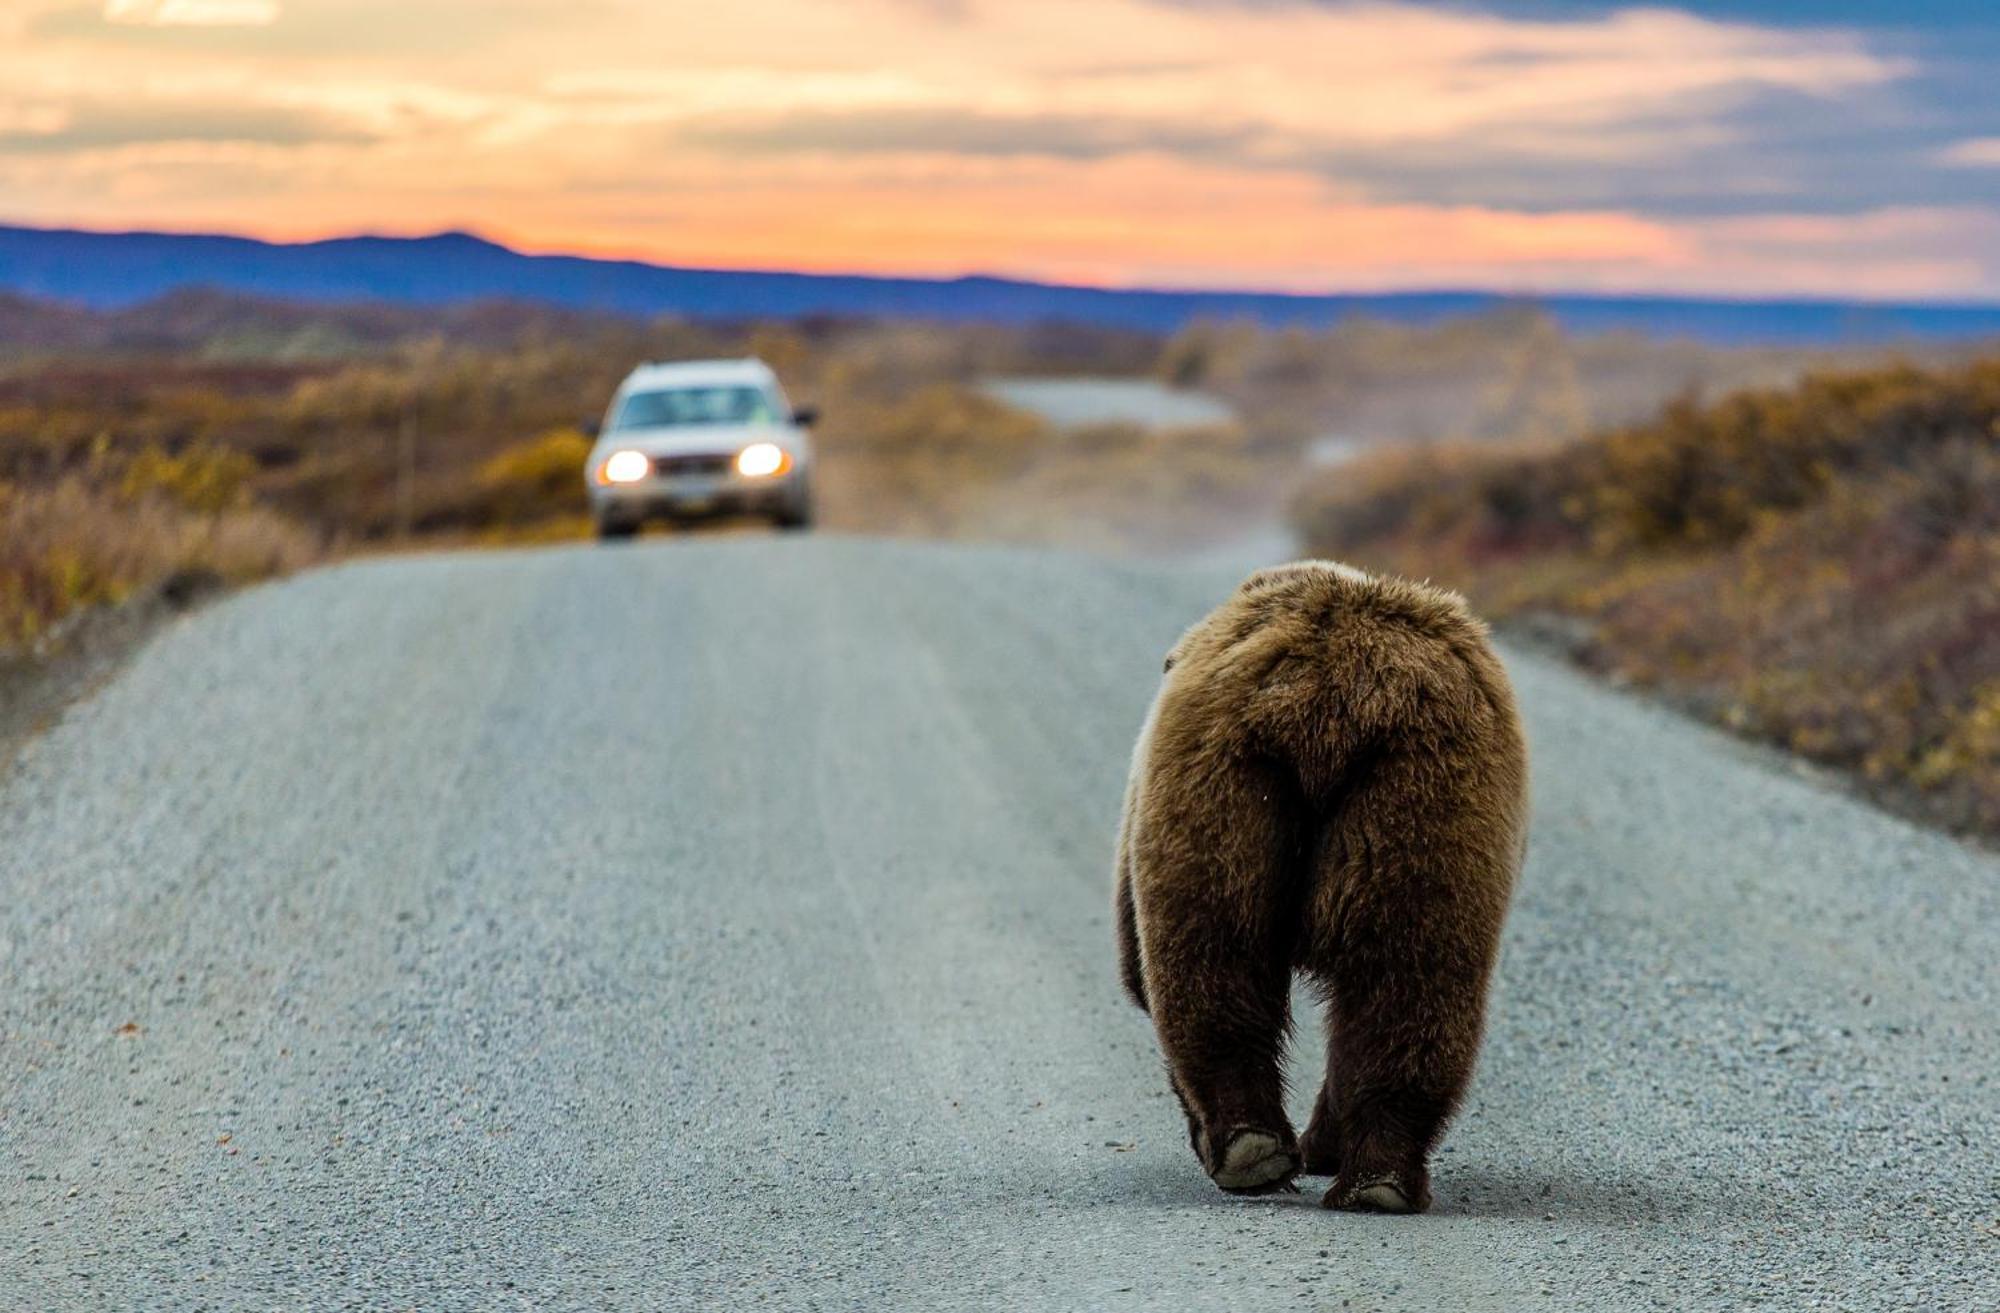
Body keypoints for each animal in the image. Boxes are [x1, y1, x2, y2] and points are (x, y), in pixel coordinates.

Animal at [1120, 560, 1520, 1216]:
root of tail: (1331, 697)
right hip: (1420, 793)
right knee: (1409, 974)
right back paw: (1374, 1180)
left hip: (1220, 779)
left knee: (1210, 959)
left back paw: (1250, 1149)